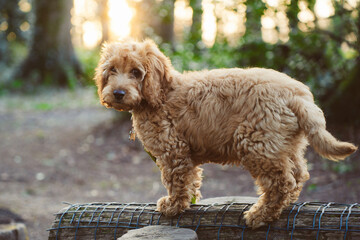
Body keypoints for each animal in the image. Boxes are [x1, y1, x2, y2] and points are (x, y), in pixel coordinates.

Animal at [95, 39, 358, 229]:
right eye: (112, 70)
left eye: (136, 72)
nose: (118, 93)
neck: (160, 94)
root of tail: (297, 95)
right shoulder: (184, 153)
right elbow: (190, 180)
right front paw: (187, 201)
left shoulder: (173, 151)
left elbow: (176, 180)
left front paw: (173, 206)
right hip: (283, 144)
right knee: (298, 173)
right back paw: (283, 205)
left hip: (256, 144)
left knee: (281, 182)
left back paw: (260, 215)